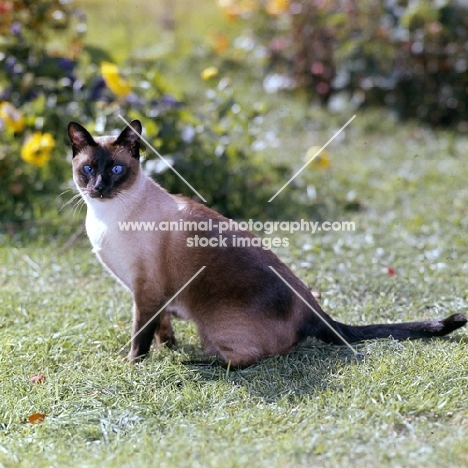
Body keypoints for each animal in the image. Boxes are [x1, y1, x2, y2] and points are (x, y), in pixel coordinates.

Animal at [67, 120, 466, 366]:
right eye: (88, 169)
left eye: (116, 170)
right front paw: (170, 349)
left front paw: (134, 364)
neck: (105, 217)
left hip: (214, 325)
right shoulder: (151, 293)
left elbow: (140, 335)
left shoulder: (146, 290)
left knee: (246, 359)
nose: (99, 187)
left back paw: (201, 362)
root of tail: (314, 308)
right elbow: (162, 329)